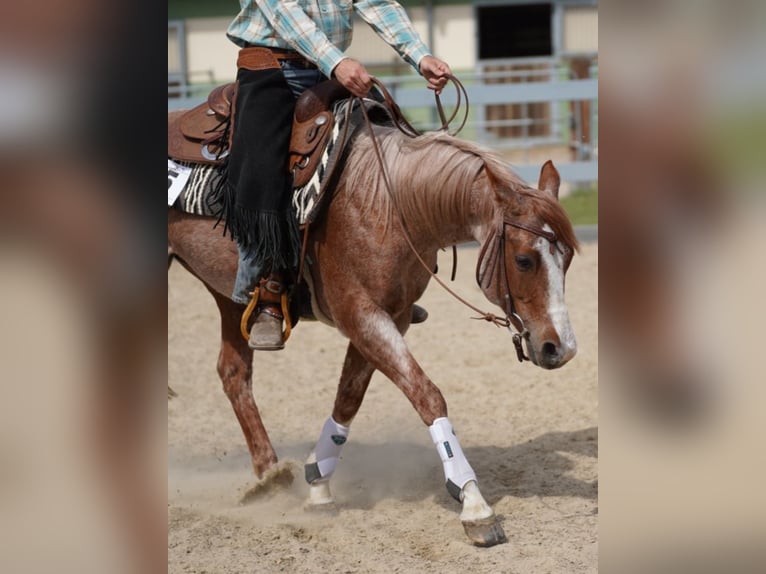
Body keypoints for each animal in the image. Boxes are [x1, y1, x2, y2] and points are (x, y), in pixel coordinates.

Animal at [167, 125, 579, 547]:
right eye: (524, 260)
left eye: (567, 258)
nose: (560, 348)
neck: (387, 205)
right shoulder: (360, 313)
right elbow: (426, 394)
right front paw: (474, 504)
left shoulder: (391, 315)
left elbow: (349, 396)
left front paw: (318, 484)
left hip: (229, 299)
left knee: (233, 373)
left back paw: (270, 474)